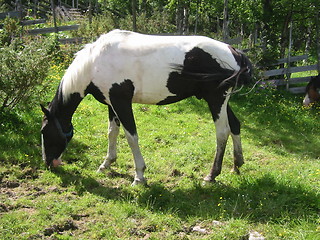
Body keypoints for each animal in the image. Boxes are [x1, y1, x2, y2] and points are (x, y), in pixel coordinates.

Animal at [40, 29, 252, 185]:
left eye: (43, 131)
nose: (48, 163)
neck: (95, 63)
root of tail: (233, 51)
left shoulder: (121, 103)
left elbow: (131, 137)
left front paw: (139, 176)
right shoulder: (111, 104)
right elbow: (112, 132)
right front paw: (107, 163)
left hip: (216, 100)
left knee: (222, 132)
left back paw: (211, 175)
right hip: (222, 101)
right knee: (235, 126)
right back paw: (237, 165)